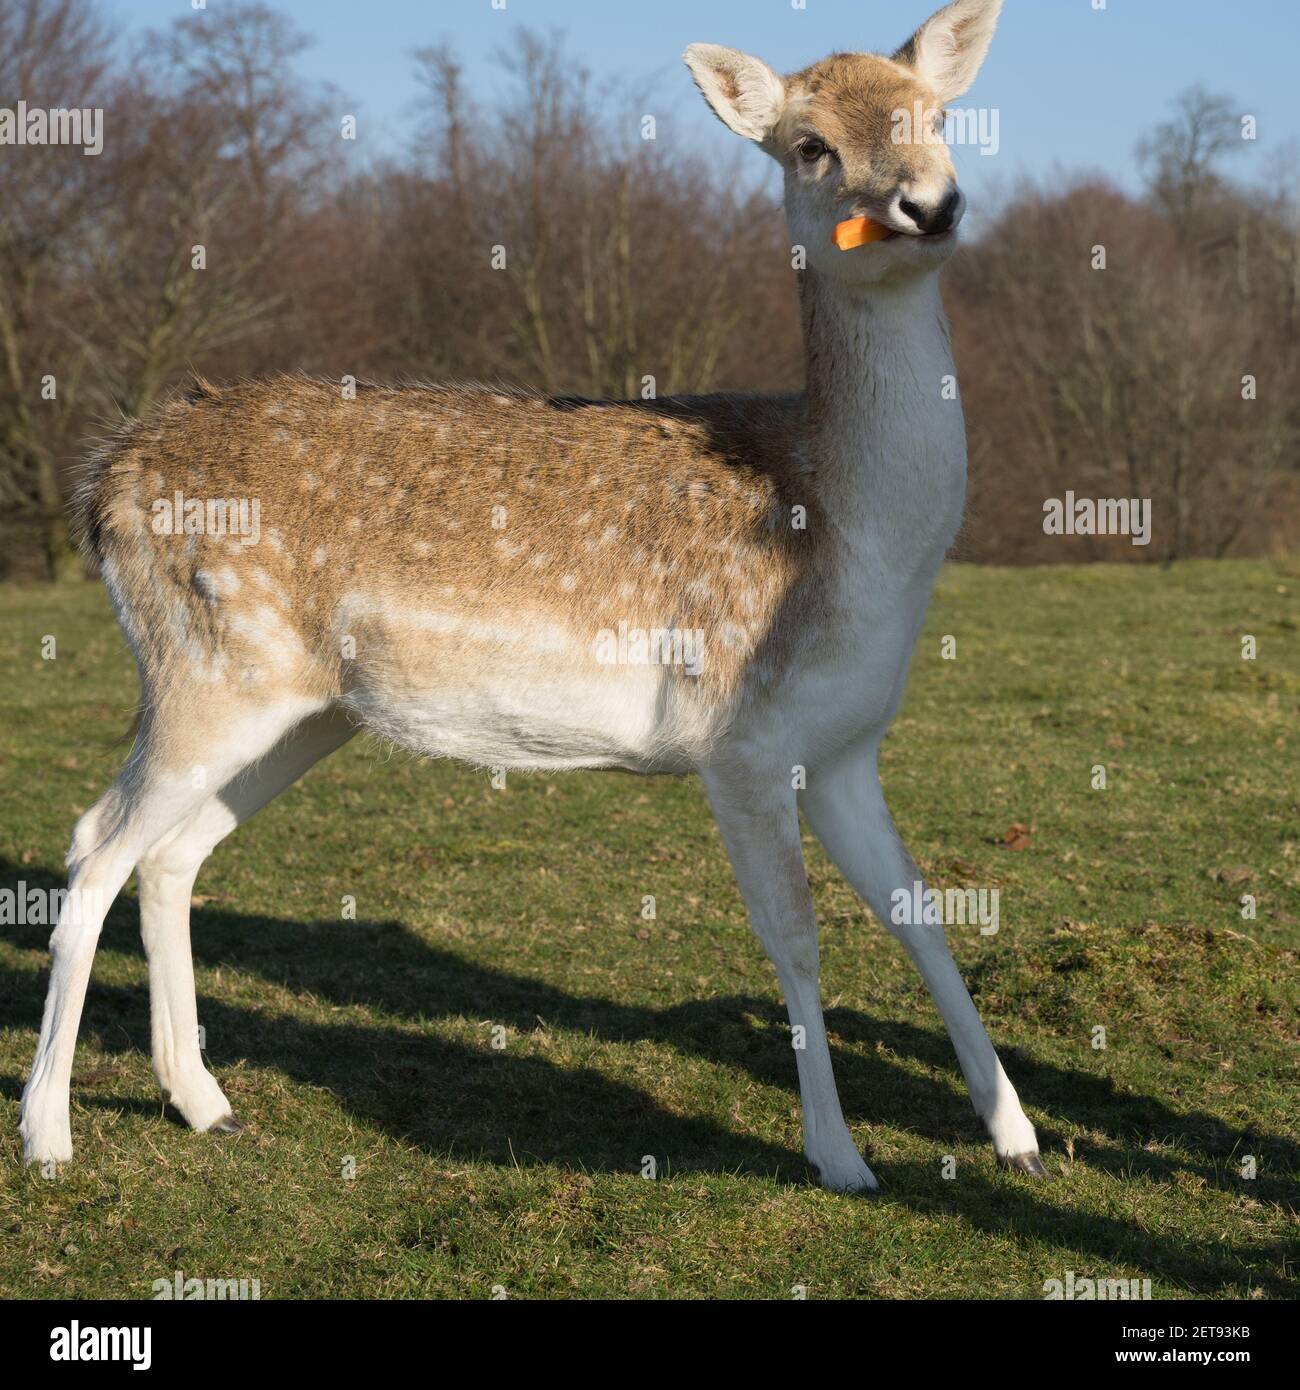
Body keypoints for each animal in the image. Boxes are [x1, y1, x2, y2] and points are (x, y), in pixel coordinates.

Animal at [20, 0, 1045, 1191]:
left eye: (940, 117)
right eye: (809, 146)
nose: (928, 203)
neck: (851, 534)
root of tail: (104, 481)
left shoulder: (842, 745)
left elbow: (920, 911)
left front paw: (1017, 1133)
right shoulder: (737, 736)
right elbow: (794, 935)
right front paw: (838, 1157)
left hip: (300, 707)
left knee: (172, 856)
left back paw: (203, 1101)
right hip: (205, 667)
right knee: (92, 845)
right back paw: (48, 1135)